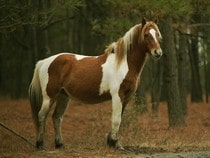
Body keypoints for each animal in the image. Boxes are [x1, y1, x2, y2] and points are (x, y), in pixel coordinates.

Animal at [28, 17, 162, 150]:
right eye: (146, 35)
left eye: (157, 34)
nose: (158, 52)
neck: (124, 64)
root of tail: (43, 62)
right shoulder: (117, 96)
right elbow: (116, 119)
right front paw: (115, 143)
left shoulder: (127, 97)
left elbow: (120, 118)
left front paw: (113, 142)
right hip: (49, 96)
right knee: (42, 116)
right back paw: (40, 144)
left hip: (63, 96)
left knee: (57, 117)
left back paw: (59, 144)